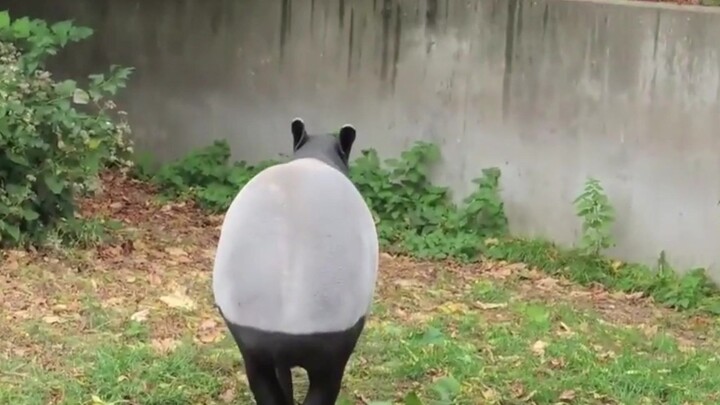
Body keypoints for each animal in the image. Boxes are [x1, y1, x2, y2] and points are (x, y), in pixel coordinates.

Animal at [212, 118, 380, 405]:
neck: (315, 155)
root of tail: (289, 322)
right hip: (335, 328)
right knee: (326, 384)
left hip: (249, 334)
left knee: (263, 381)